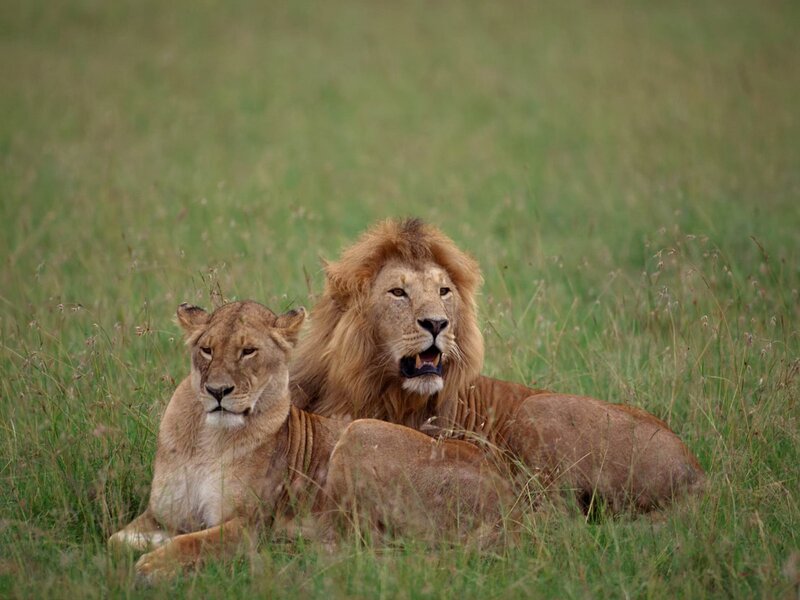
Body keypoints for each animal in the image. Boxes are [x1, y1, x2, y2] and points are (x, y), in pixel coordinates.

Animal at [109, 301, 514, 582]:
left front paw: (152, 566)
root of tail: (509, 505)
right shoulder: (159, 514)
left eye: (248, 351)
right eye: (207, 349)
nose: (217, 391)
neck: (207, 438)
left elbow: (193, 541)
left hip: (358, 434)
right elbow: (116, 540)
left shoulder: (249, 525)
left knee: (363, 546)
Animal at [291, 218, 705, 511]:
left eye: (444, 291)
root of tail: (697, 473)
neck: (375, 388)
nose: (437, 323)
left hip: (538, 409)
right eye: (398, 292)